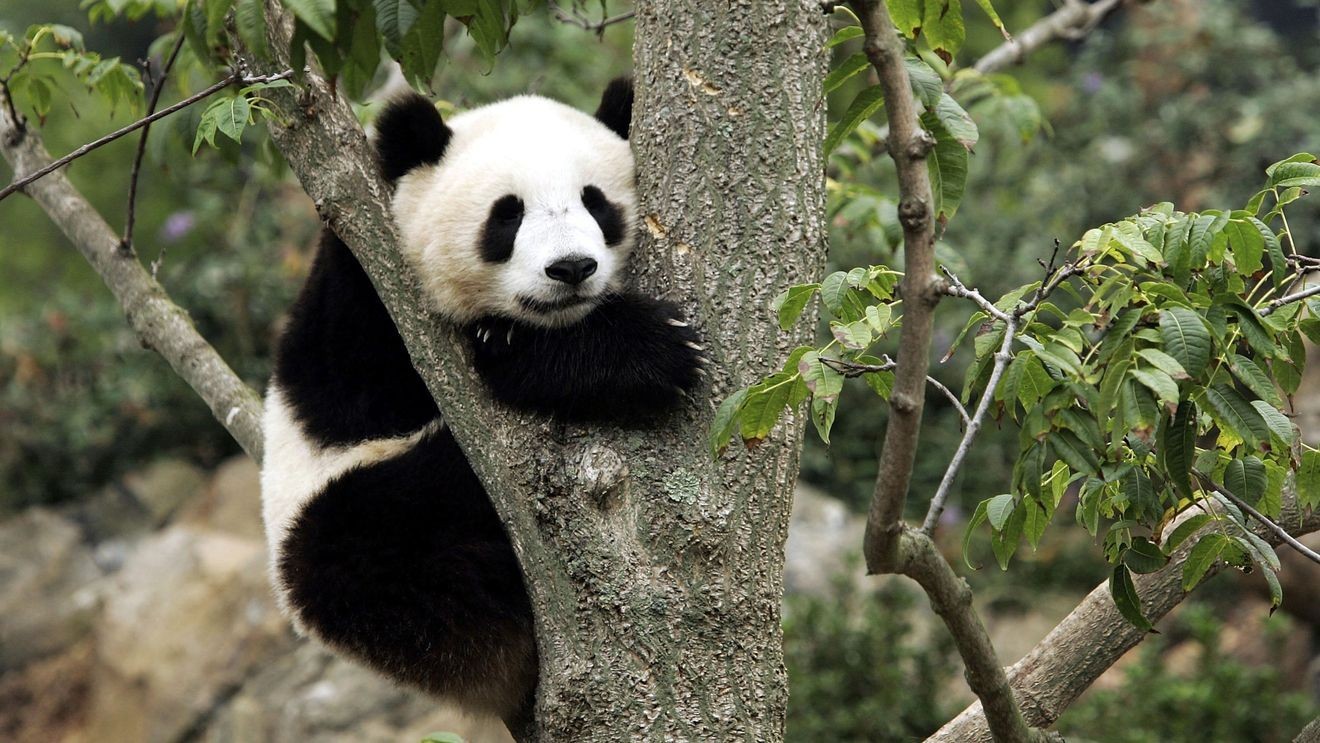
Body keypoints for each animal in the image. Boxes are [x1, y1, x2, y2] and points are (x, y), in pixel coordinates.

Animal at [259, 78, 704, 733]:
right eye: (507, 214)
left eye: (596, 203)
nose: (571, 268)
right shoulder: (360, 297)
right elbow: (368, 389)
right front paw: (646, 350)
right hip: (342, 527)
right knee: (374, 536)